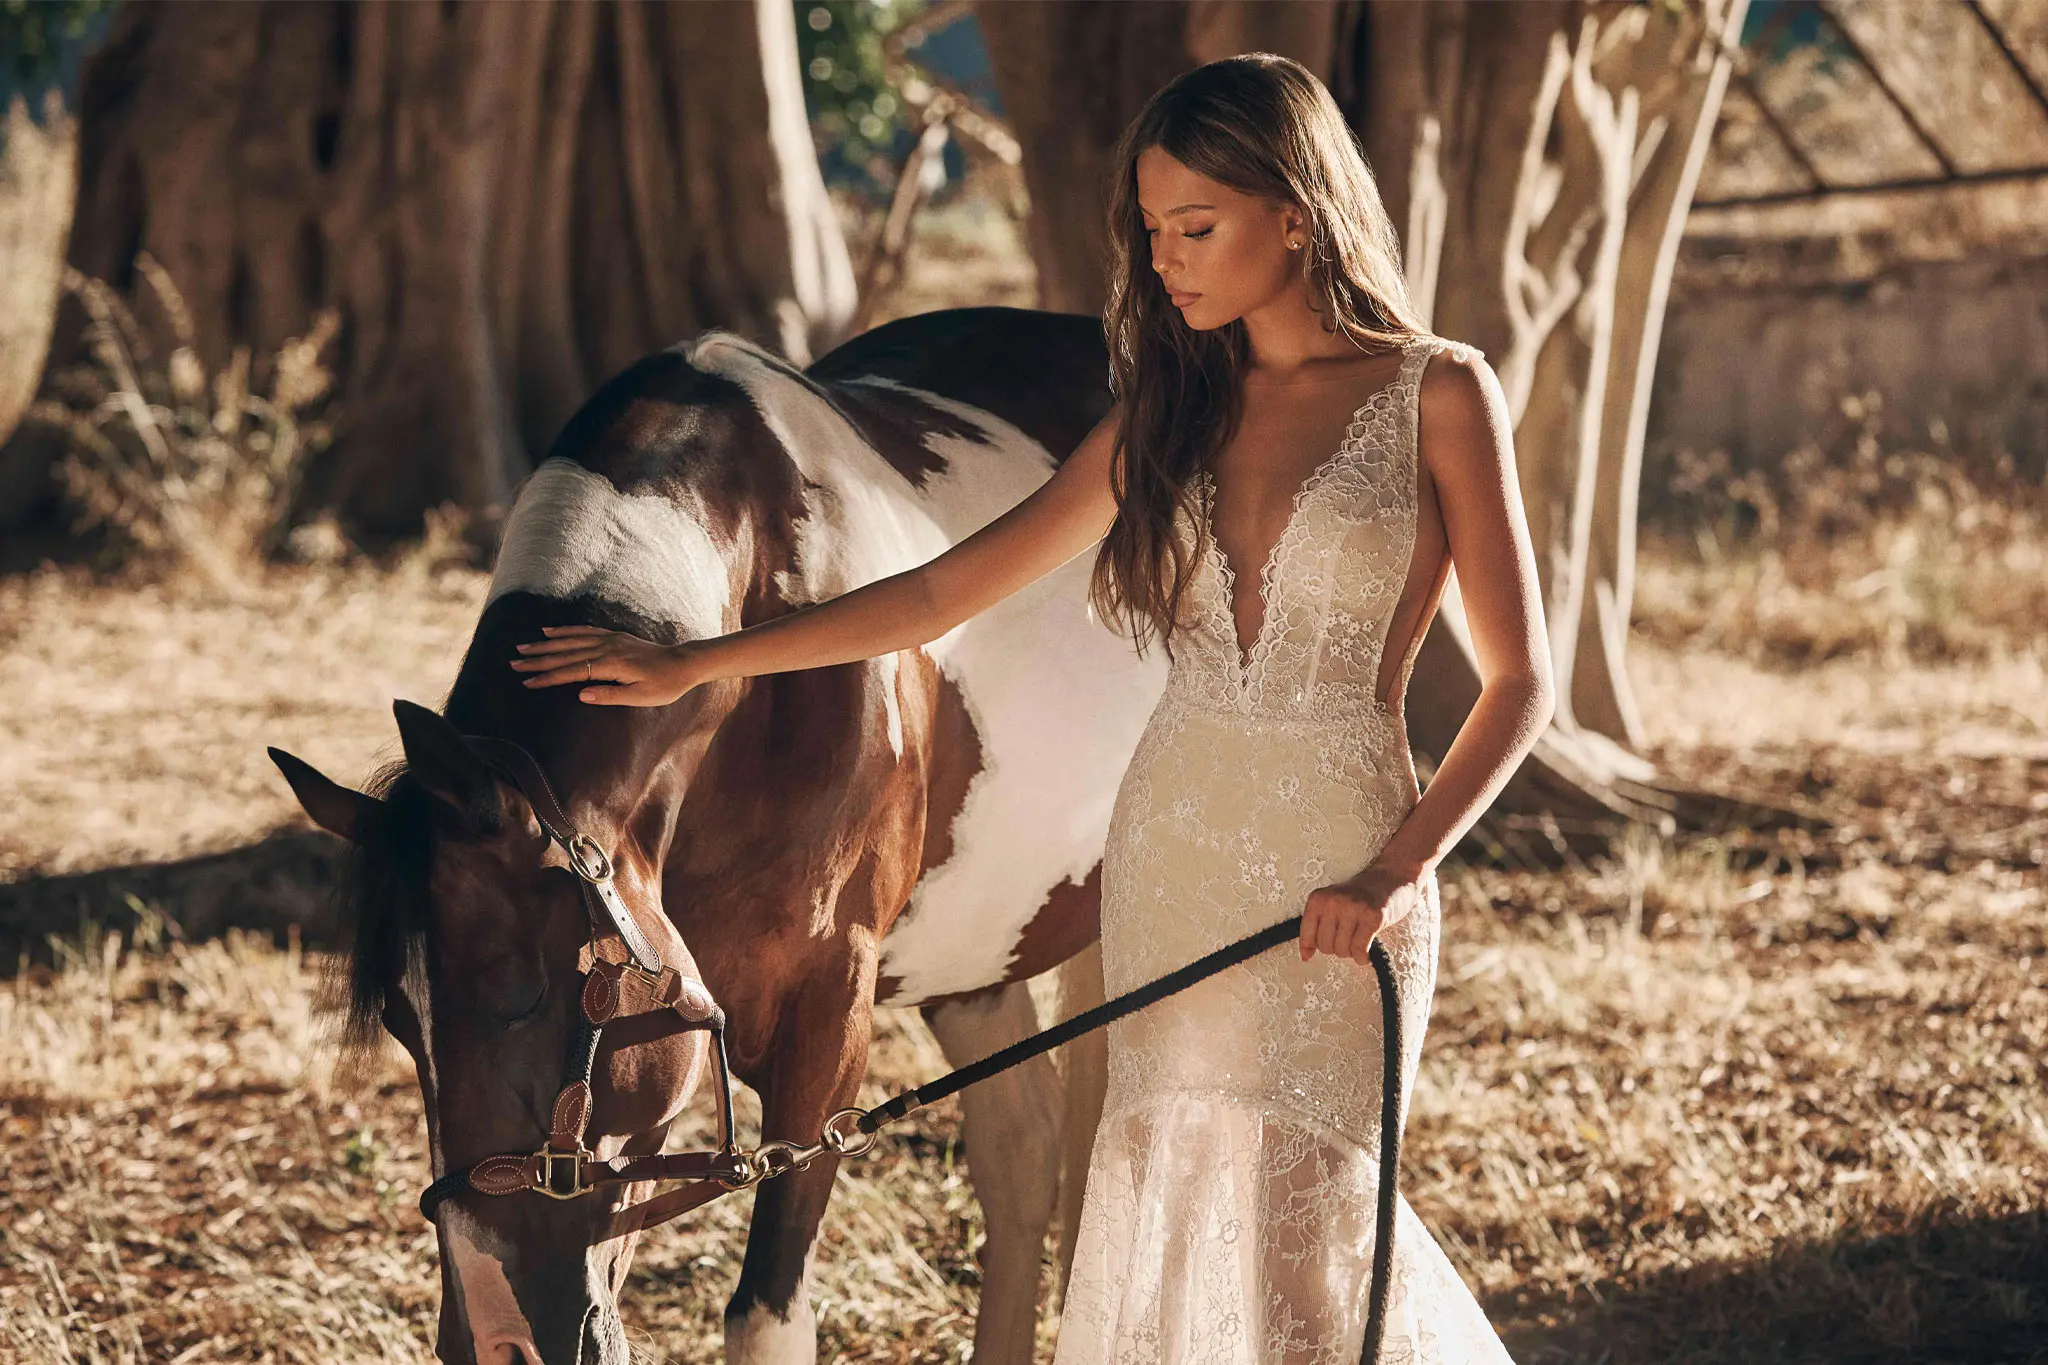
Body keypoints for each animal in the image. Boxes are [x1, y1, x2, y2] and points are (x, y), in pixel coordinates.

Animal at [272, 309, 1171, 1365]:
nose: (495, 1341)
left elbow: (766, 1313)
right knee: (1029, 1158)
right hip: (978, 949)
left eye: (516, 995)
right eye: (401, 1022)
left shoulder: (832, 1006)